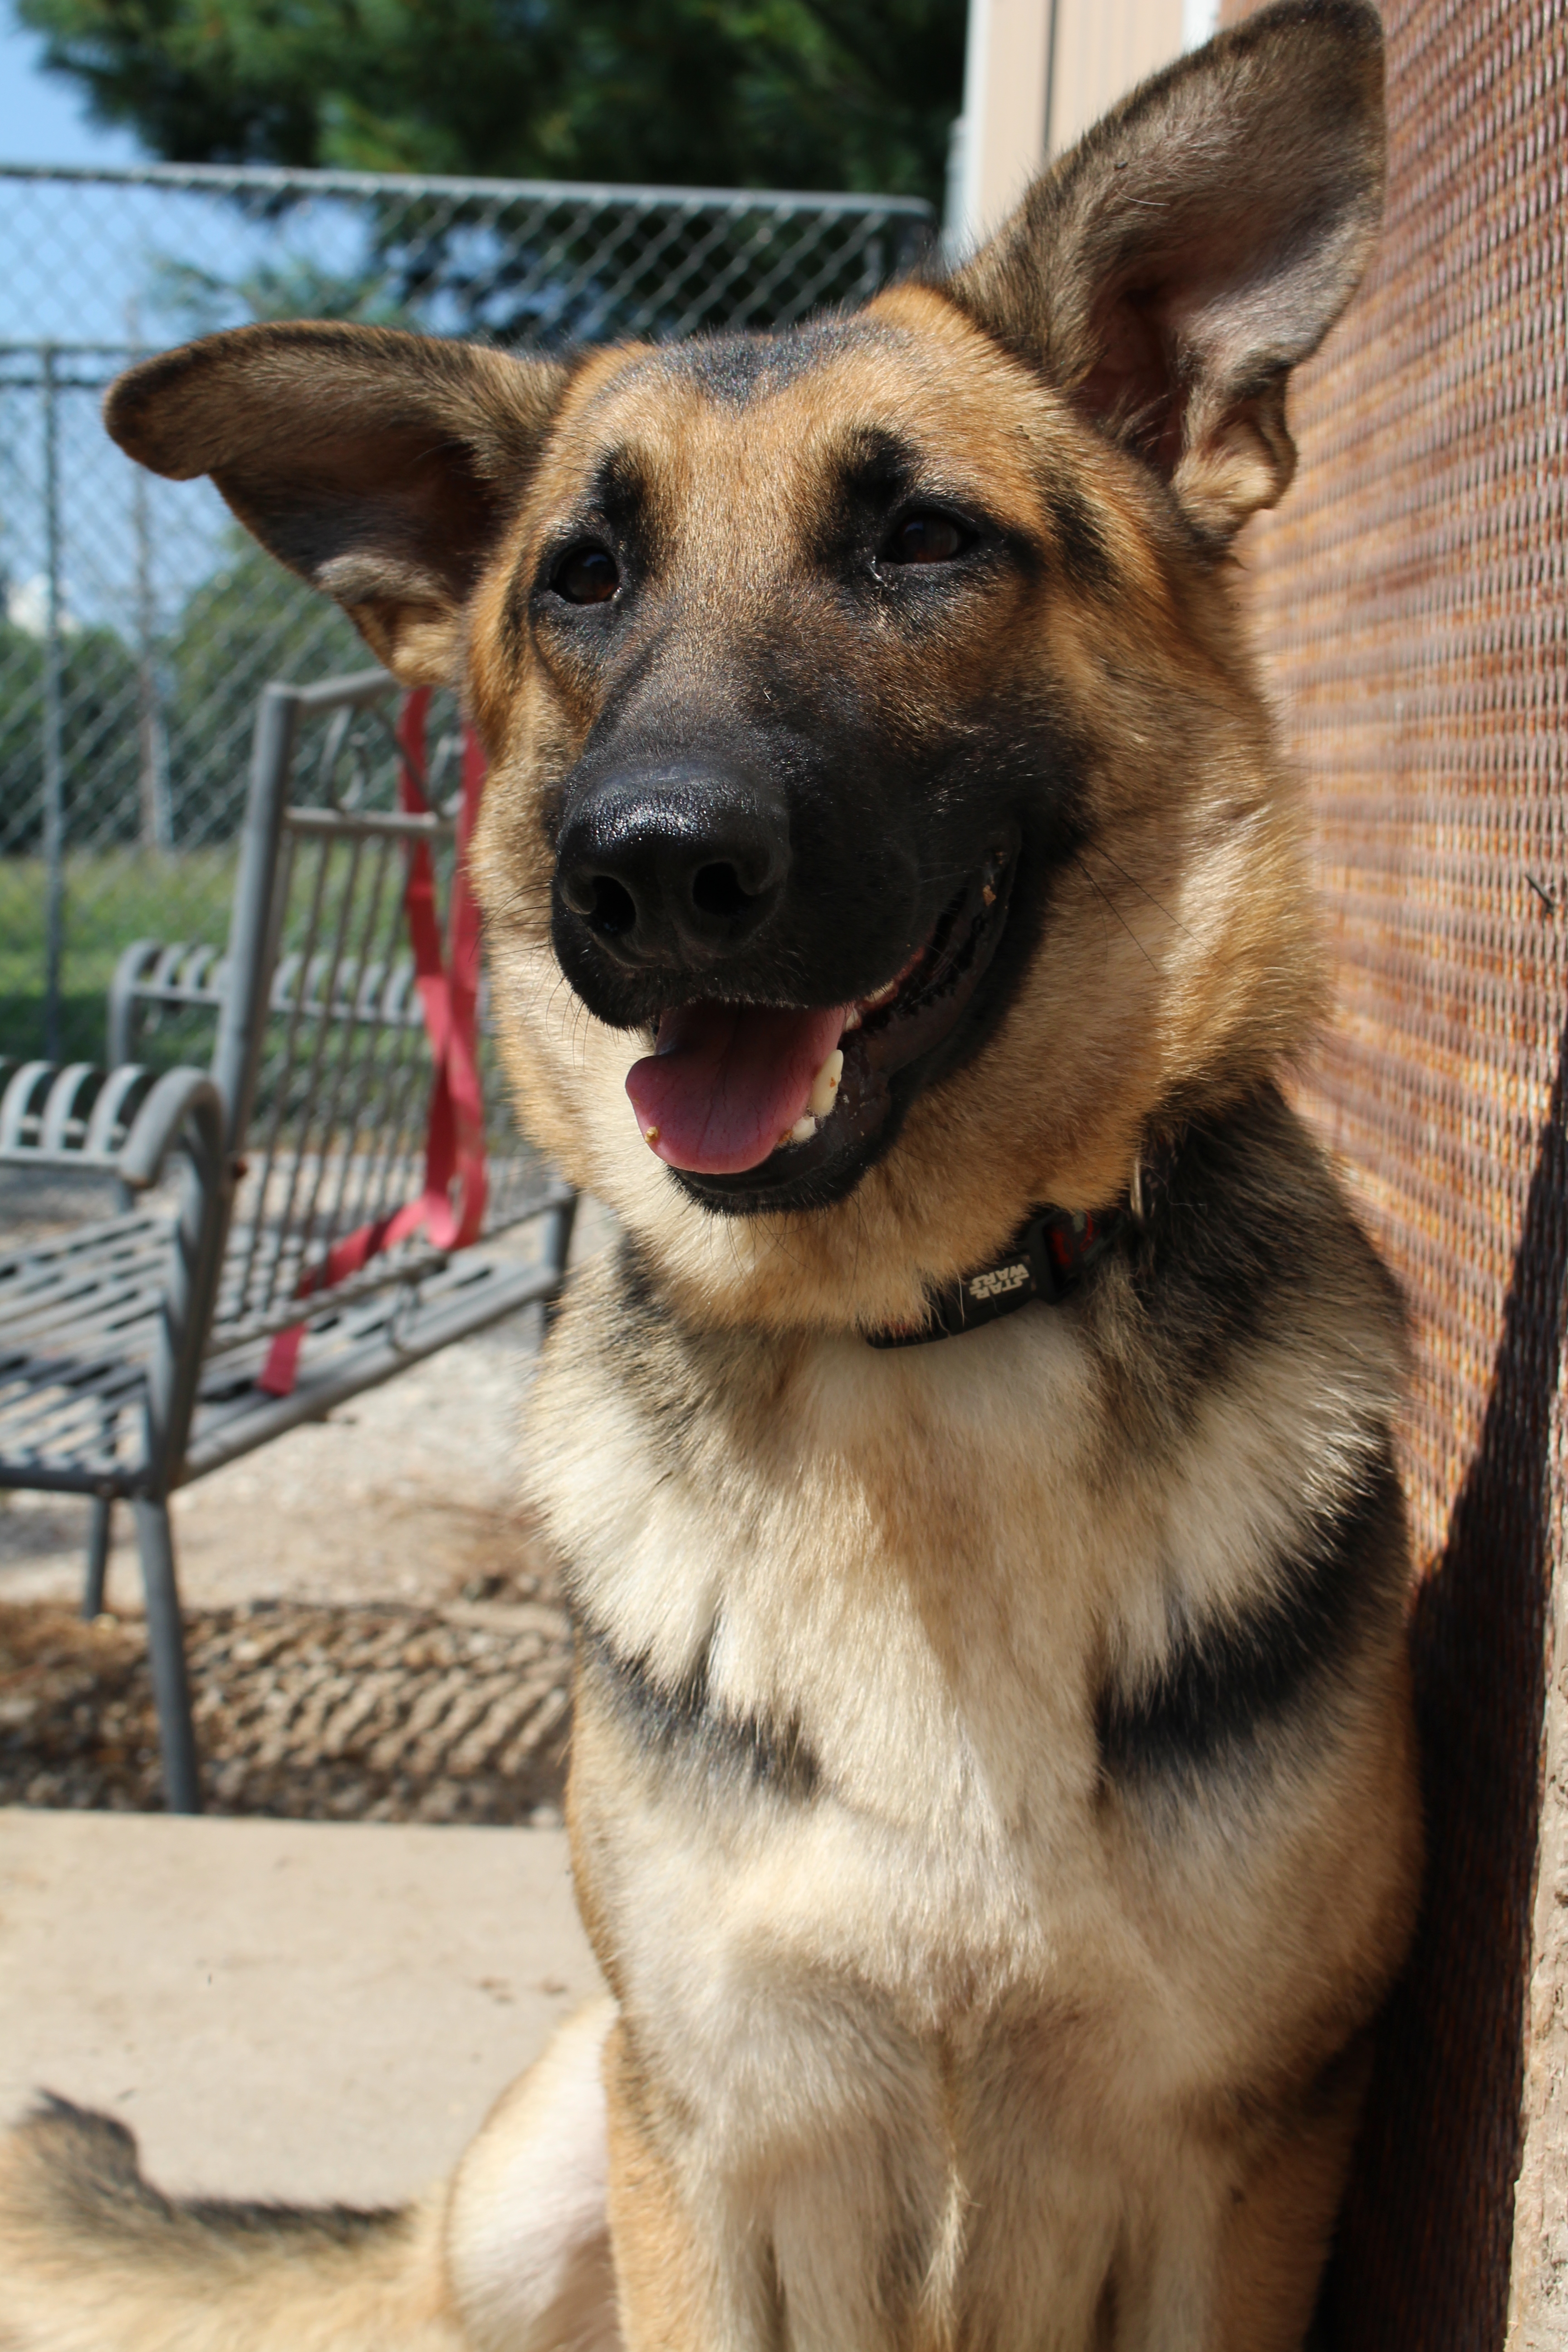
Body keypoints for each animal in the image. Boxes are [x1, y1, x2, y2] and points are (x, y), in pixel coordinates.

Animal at [0, 9, 1420, 2342]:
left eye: (923, 539)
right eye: (581, 578)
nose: (646, 872)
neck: (918, 1345)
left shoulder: (1236, 2175)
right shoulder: (724, 2144)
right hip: (531, 2198)